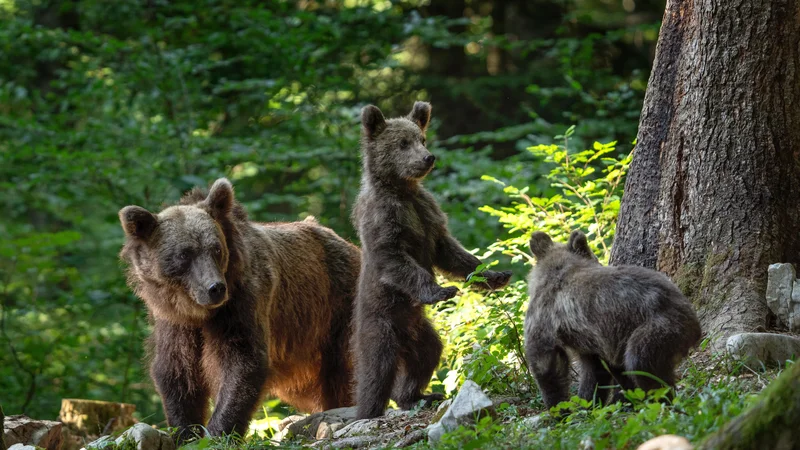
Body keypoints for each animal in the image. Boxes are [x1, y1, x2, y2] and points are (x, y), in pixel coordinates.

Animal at [119, 178, 360, 440]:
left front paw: (218, 431)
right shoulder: (173, 322)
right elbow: (177, 371)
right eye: (184, 254)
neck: (199, 313)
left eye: (215, 249)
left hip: (334, 306)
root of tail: (348, 243)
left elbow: (242, 363)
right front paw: (186, 431)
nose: (215, 288)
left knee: (341, 368)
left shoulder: (241, 305)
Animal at [354, 101, 516, 418]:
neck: (402, 190)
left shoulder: (427, 214)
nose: (428, 157)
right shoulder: (385, 218)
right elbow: (395, 257)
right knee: (377, 368)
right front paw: (440, 290)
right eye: (403, 143)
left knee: (427, 356)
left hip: (420, 332)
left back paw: (419, 395)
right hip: (381, 321)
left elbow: (452, 253)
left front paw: (495, 275)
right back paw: (369, 409)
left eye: (422, 139)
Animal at [524, 229, 700, 408]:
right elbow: (595, 372)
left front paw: (560, 407)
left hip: (657, 326)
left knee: (641, 362)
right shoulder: (590, 340)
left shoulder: (545, 318)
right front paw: (589, 402)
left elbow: (545, 363)